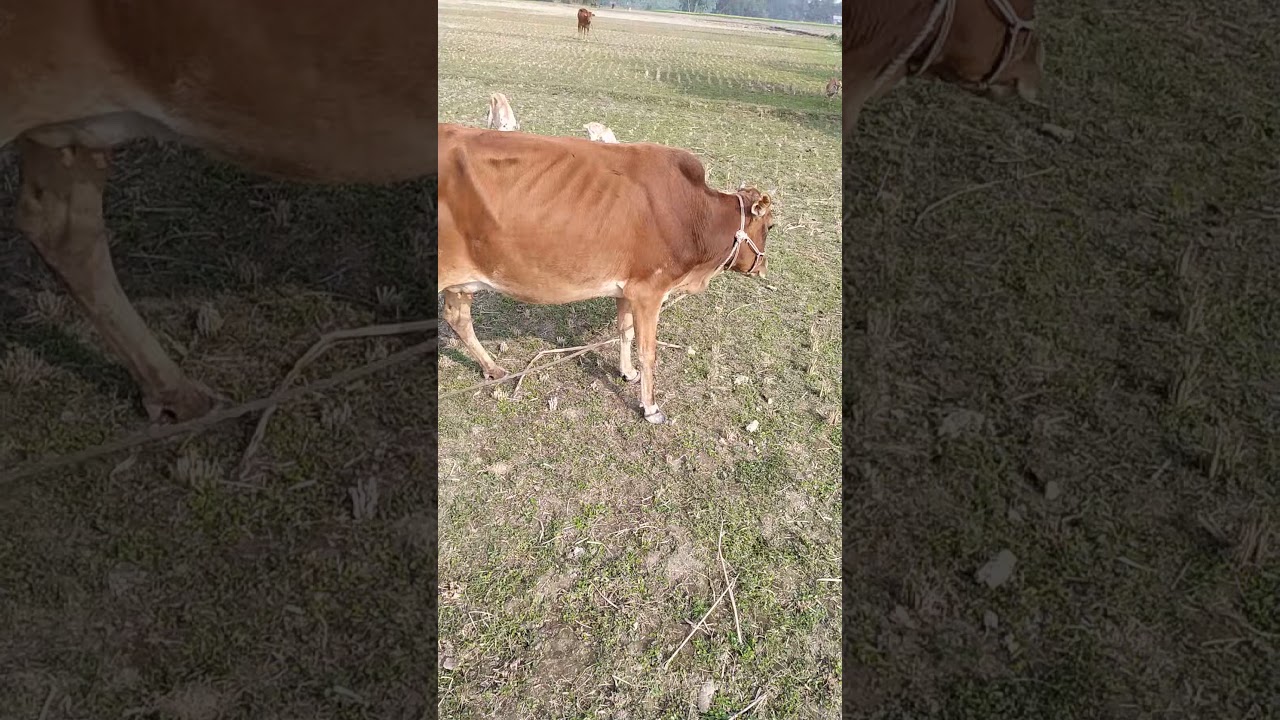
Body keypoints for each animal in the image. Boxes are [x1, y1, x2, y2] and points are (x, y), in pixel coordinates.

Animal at [438, 124, 774, 425]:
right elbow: (647, 351)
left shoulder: (628, 289)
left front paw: (627, 372)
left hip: (460, 283)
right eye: (770, 226)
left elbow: (625, 332)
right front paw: (650, 408)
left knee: (458, 319)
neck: (693, 214)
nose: (763, 268)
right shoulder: (650, 290)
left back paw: (493, 369)